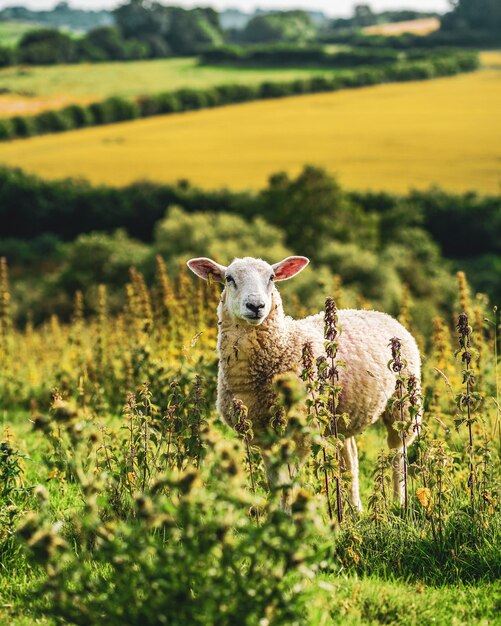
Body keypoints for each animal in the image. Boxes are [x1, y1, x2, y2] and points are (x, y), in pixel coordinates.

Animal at [186, 254, 420, 508]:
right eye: (229, 278)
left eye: (271, 277)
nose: (256, 306)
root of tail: (380, 313)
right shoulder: (262, 435)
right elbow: (275, 483)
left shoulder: (302, 434)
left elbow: (288, 482)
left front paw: (288, 514)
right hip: (344, 414)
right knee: (350, 456)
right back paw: (355, 508)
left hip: (403, 405)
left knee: (398, 452)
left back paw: (400, 503)